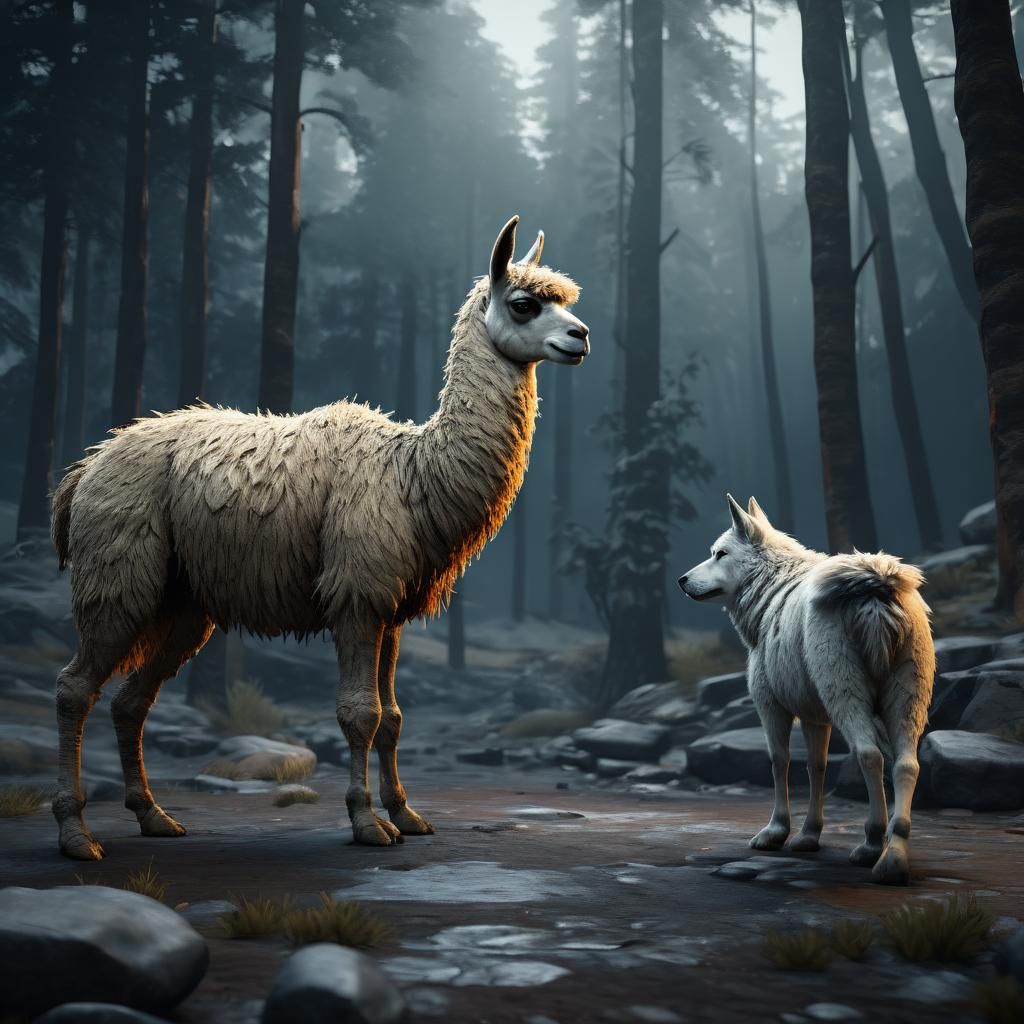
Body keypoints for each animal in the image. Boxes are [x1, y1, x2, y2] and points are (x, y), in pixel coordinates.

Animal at [678, 495, 934, 885]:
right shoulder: (815, 715)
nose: (681, 580)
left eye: (720, 553)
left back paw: (871, 845)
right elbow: (817, 767)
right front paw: (809, 835)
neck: (769, 592)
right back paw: (894, 856)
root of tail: (875, 583)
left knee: (870, 755)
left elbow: (779, 762)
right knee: (907, 764)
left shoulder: (770, 704)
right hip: (907, 698)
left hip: (845, 691)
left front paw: (776, 832)